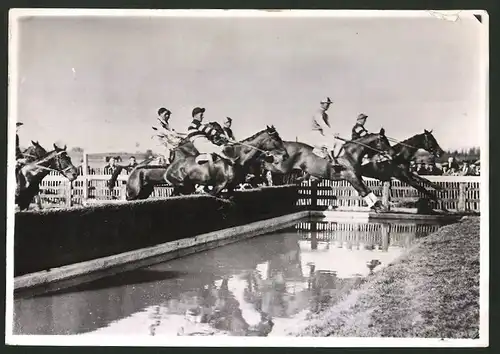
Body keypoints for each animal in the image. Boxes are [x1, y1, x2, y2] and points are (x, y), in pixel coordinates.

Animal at [262, 129, 394, 212]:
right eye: (383, 141)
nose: (392, 153)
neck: (350, 154)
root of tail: (283, 144)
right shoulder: (351, 176)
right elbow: (363, 191)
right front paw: (377, 206)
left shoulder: (356, 176)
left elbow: (367, 189)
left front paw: (379, 206)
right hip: (281, 168)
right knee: (266, 165)